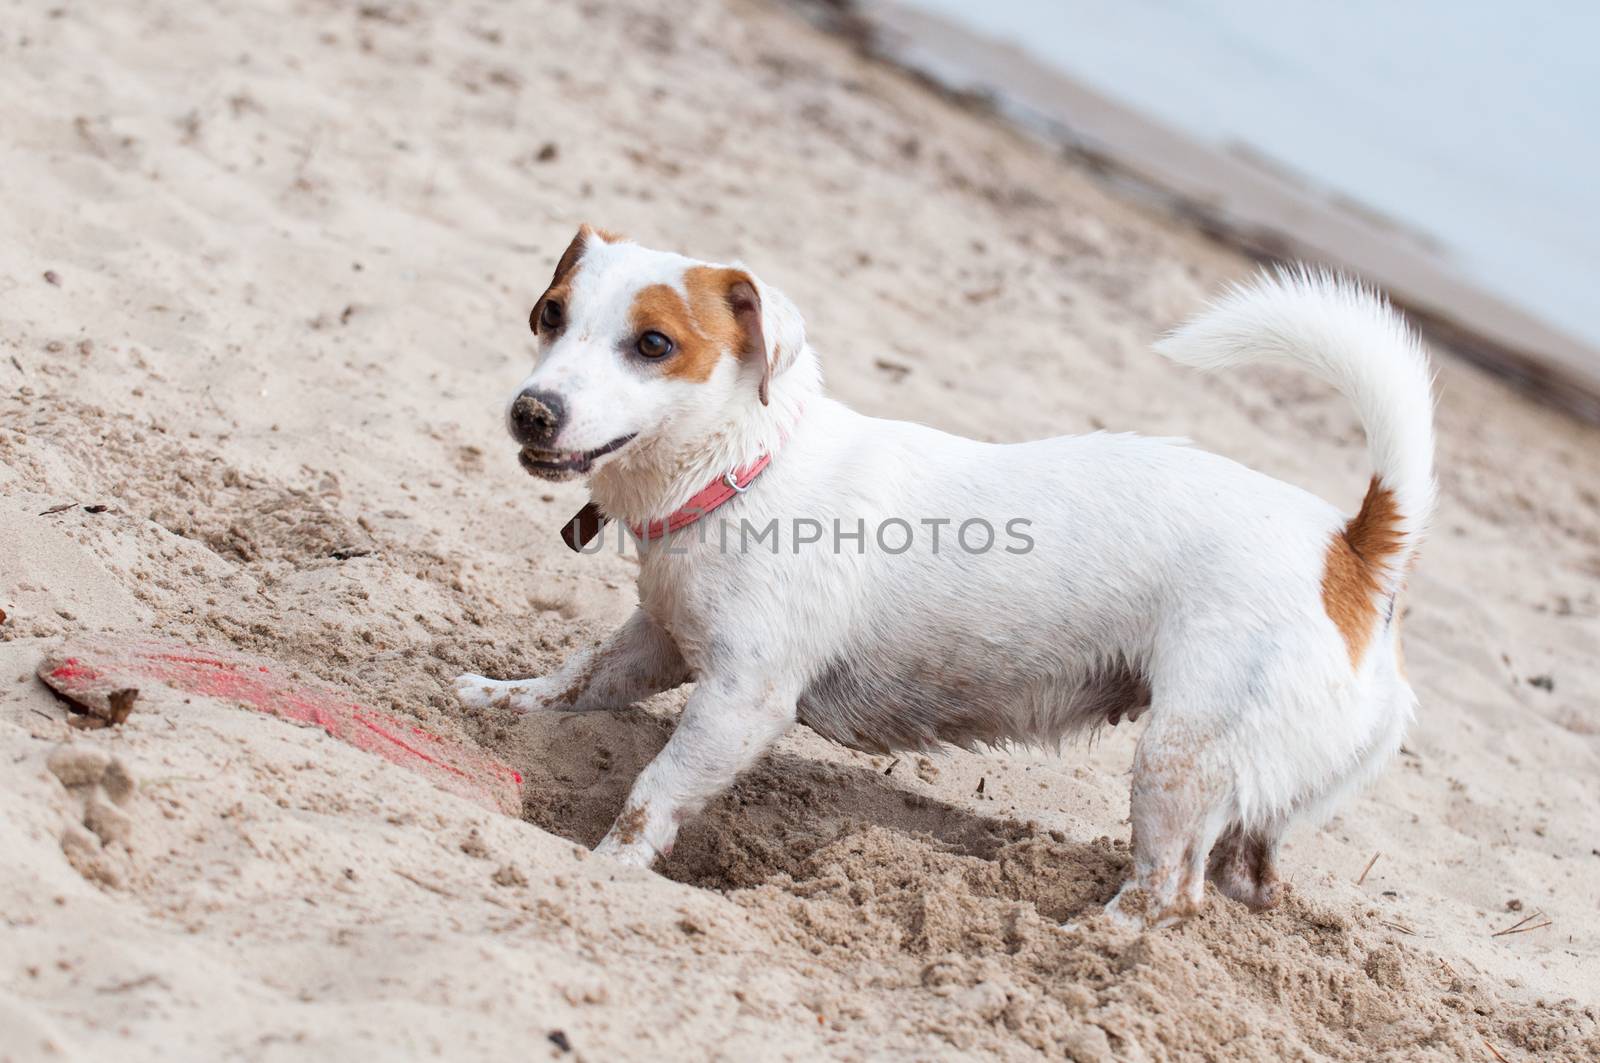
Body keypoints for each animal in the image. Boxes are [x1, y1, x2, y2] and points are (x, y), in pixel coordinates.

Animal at [460, 225, 1440, 928]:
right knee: (1247, 879)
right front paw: (504, 699)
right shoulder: (657, 638)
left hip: (1178, 757)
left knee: (1168, 892)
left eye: (655, 343)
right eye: (549, 314)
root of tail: (1353, 550)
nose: (532, 411)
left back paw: (1073, 940)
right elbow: (579, 679)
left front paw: (606, 868)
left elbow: (653, 792)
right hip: (1252, 786)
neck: (746, 465)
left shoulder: (742, 700)